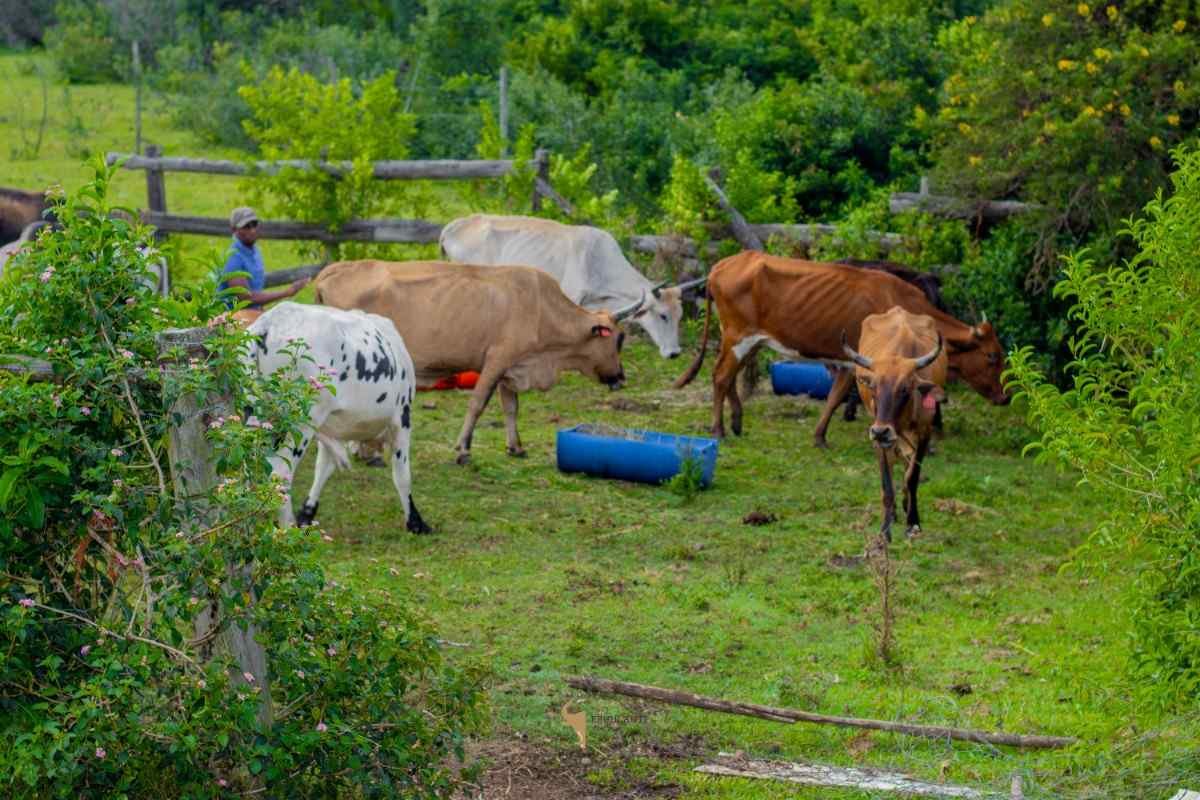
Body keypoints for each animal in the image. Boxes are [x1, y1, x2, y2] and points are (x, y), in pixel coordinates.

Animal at [246, 302, 430, 533]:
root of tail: (270, 320)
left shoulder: (331, 427)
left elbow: (324, 468)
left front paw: (307, 513)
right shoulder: (401, 418)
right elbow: (402, 475)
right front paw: (415, 522)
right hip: (302, 421)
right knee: (279, 472)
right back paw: (287, 528)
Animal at [312, 260, 640, 465]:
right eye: (619, 338)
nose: (621, 377)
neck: (542, 308)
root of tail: (332, 270)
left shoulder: (510, 368)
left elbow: (511, 408)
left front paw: (515, 446)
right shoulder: (496, 361)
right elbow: (477, 404)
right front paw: (463, 450)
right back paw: (367, 452)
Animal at [674, 252, 1009, 446]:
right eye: (992, 356)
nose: (1005, 397)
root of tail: (724, 264)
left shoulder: (851, 362)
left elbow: (835, 396)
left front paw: (820, 436)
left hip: (747, 340)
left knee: (729, 376)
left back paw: (736, 421)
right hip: (737, 336)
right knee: (720, 376)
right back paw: (718, 430)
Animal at [842, 307, 947, 541]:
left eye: (905, 389)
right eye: (873, 387)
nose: (881, 431)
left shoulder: (924, 435)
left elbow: (912, 478)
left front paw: (913, 523)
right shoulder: (880, 439)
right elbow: (887, 485)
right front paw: (885, 529)